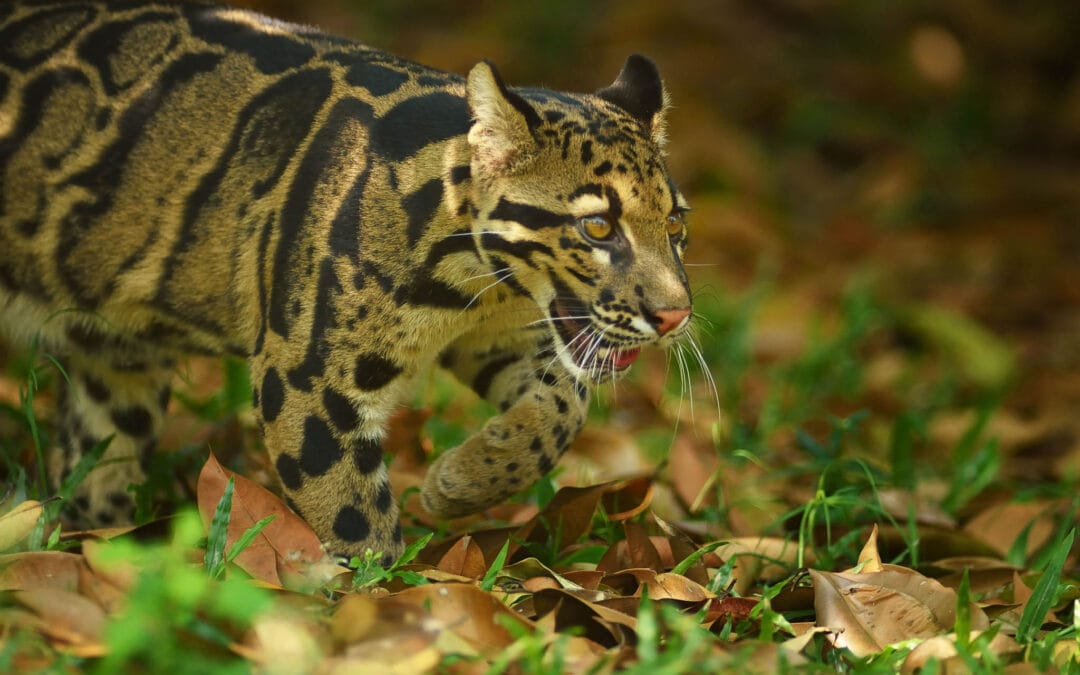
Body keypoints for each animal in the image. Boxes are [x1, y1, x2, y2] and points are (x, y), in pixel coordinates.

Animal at [0, 0, 693, 562]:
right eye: (598, 227)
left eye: (676, 224)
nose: (676, 315)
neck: (472, 281)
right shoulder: (308, 379)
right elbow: (350, 510)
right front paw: (376, 598)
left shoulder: (495, 336)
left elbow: (563, 407)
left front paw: (463, 481)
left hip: (118, 365)